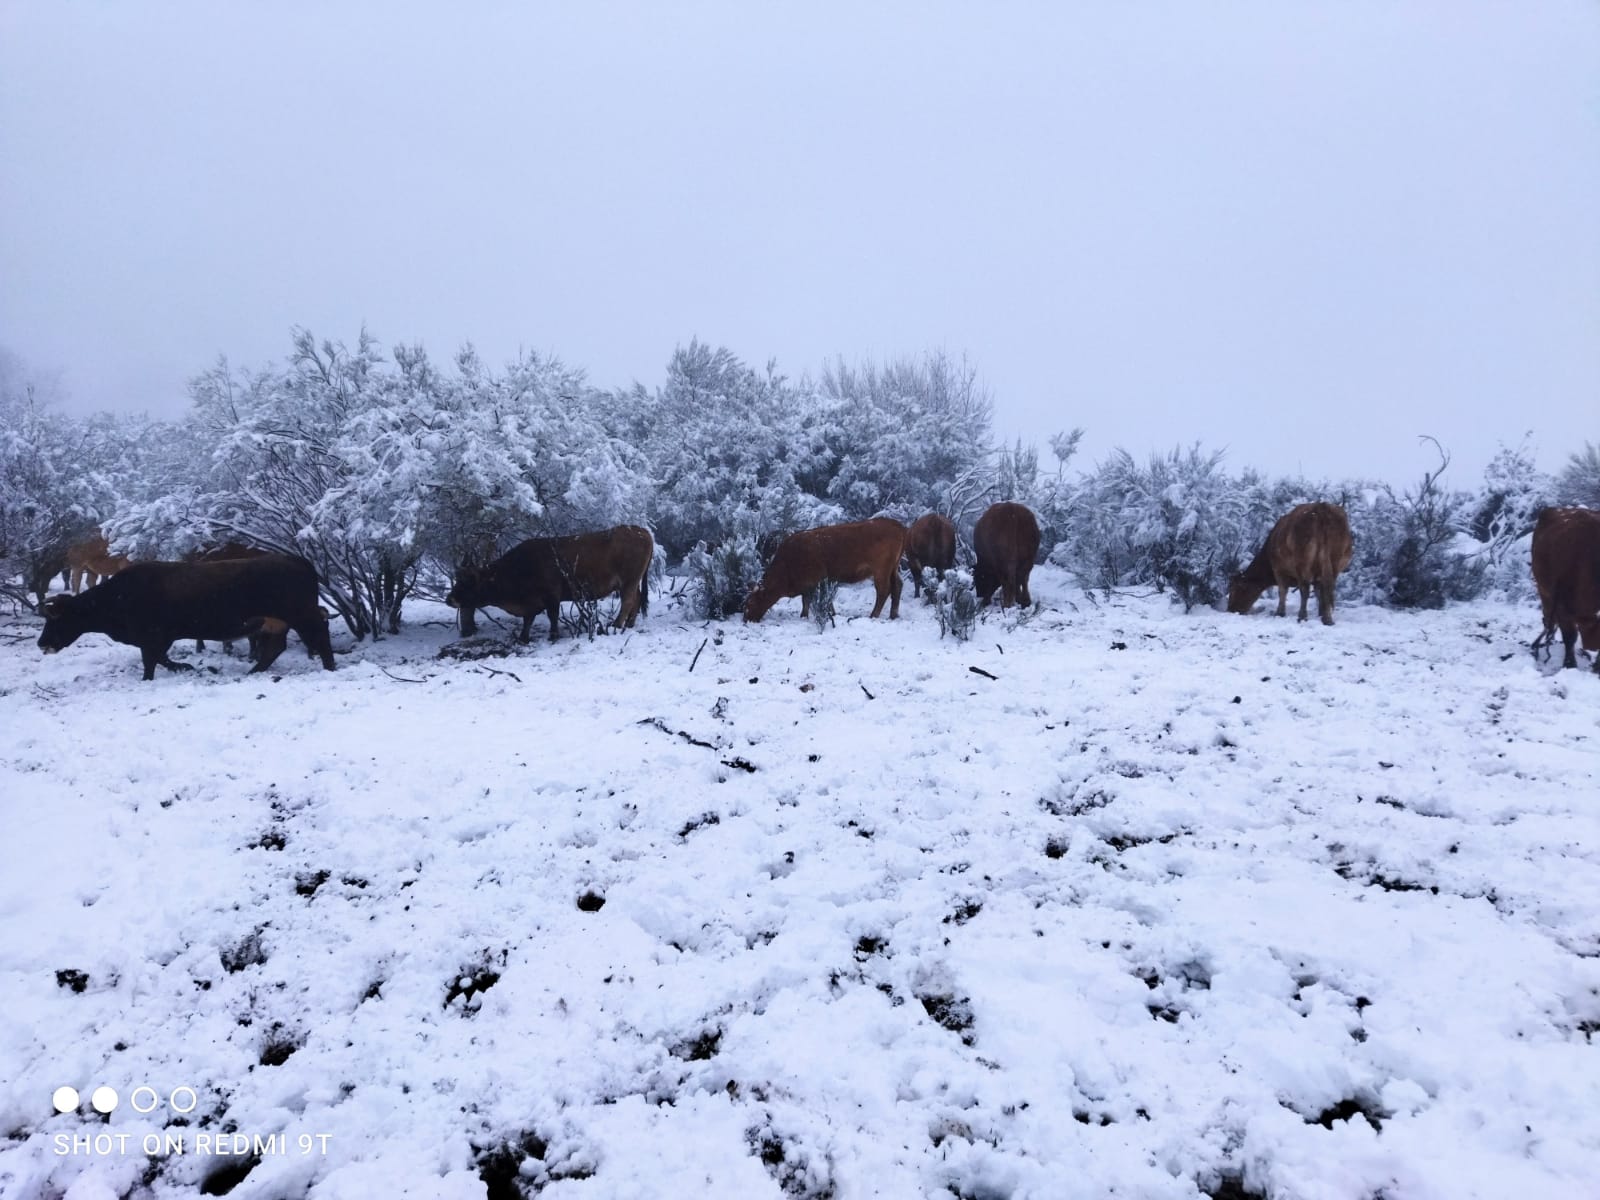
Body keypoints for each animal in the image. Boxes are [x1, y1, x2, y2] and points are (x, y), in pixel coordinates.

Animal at [35, 556, 334, 681]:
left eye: (55, 620)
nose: (41, 643)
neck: (119, 596)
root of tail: (298, 561)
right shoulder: (154, 639)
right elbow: (160, 659)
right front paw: (184, 667)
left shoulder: (155, 636)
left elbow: (153, 661)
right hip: (277, 622)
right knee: (275, 648)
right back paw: (254, 671)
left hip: (301, 615)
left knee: (320, 636)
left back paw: (329, 668)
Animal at [441, 524, 652, 643]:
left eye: (469, 580)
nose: (449, 599)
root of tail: (640, 530)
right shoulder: (531, 603)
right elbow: (528, 620)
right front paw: (523, 638)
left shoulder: (552, 596)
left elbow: (552, 616)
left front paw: (553, 636)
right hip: (633, 582)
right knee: (636, 599)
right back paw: (629, 624)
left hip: (628, 581)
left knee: (628, 601)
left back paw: (616, 624)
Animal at [742, 518, 908, 624]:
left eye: (750, 602)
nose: (745, 619)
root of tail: (896, 524)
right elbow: (813, 600)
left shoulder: (816, 581)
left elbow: (808, 600)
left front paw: (806, 615)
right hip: (893, 569)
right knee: (898, 586)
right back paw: (893, 615)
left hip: (881, 570)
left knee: (884, 590)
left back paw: (873, 615)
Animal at [1228, 499, 1356, 624]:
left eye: (1234, 589)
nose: (1231, 610)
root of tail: (1321, 508)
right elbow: (1319, 591)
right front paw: (1321, 612)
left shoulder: (1278, 569)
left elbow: (1282, 590)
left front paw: (1280, 613)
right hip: (1335, 559)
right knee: (1328, 587)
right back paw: (1327, 619)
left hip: (1302, 560)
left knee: (1305, 588)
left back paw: (1302, 617)